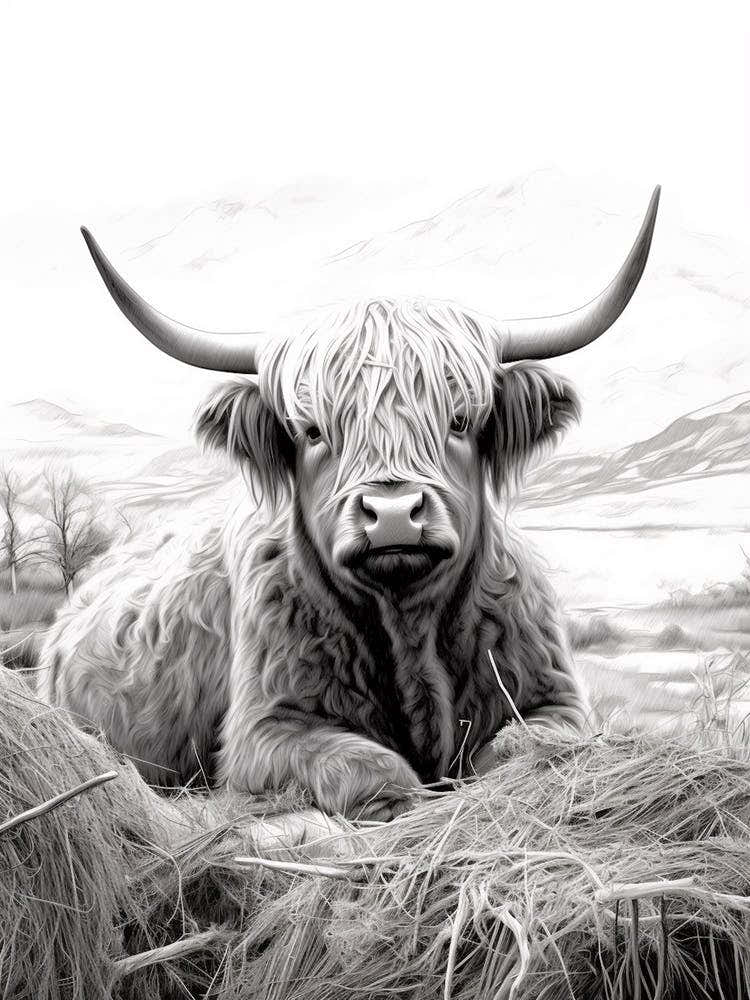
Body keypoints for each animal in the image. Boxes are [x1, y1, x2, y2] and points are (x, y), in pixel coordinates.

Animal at [39, 188, 660, 819]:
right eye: (312, 431)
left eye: (461, 420)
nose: (393, 515)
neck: (408, 625)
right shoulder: (264, 731)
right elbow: (372, 769)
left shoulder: (555, 698)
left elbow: (524, 749)